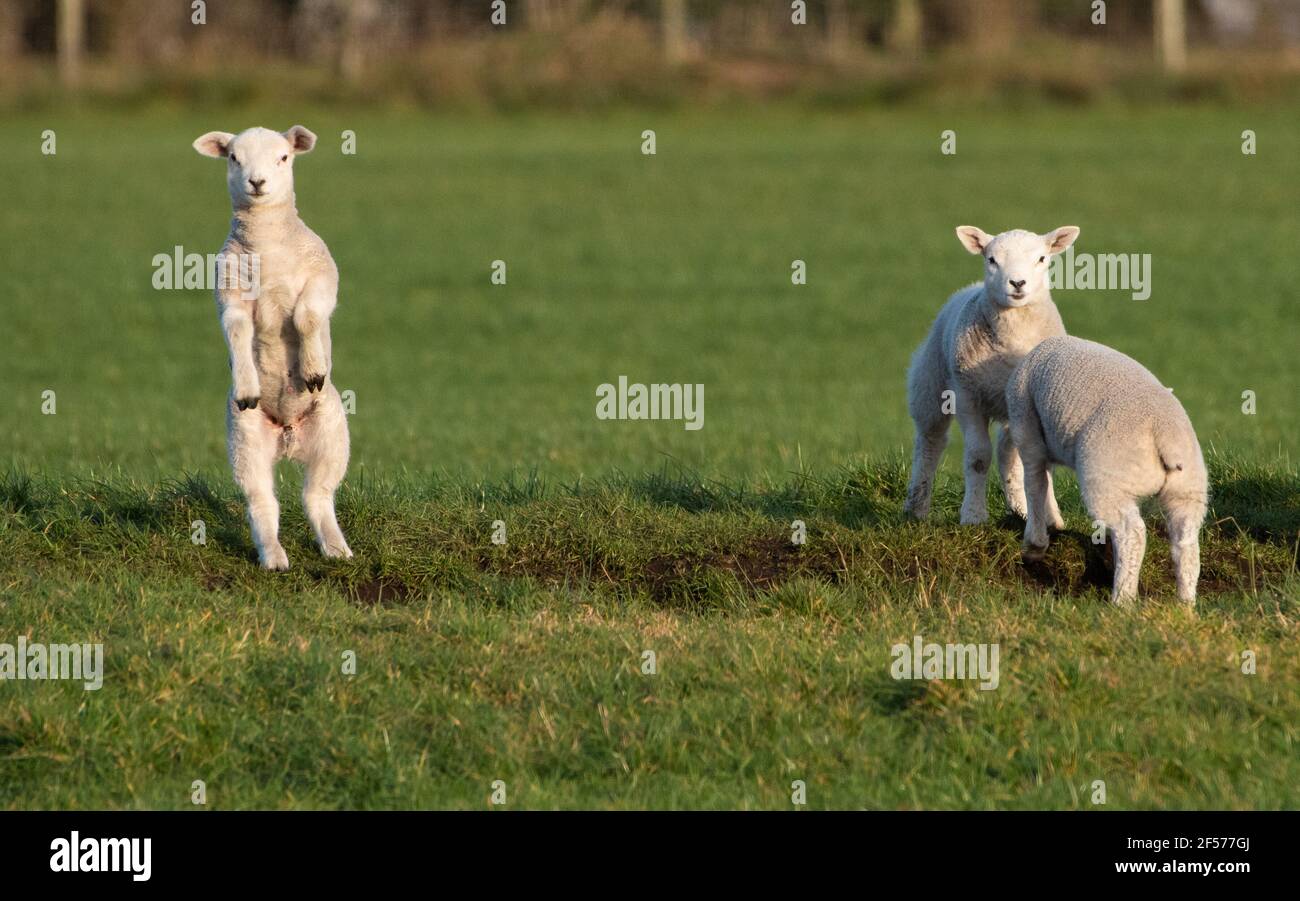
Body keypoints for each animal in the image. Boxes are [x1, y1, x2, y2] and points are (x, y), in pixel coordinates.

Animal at [192, 124, 356, 569]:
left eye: (283, 157)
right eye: (234, 157)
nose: (257, 182)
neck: (267, 249)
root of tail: (286, 435)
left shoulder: (322, 276)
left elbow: (306, 315)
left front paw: (312, 367)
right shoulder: (229, 291)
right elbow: (236, 330)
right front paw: (247, 383)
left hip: (332, 431)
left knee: (318, 495)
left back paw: (337, 549)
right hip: (246, 441)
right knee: (263, 502)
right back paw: (274, 556)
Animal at [904, 221, 1076, 522]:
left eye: (1042, 259)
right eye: (992, 259)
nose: (1017, 283)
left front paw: (1051, 518)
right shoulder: (966, 396)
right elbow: (978, 456)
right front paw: (973, 516)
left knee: (1009, 454)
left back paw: (1019, 508)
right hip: (930, 384)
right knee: (930, 441)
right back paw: (917, 507)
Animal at [1003, 335, 1206, 603]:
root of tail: (1164, 432)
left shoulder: (1027, 427)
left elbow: (1036, 485)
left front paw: (1034, 547)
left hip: (1107, 476)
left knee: (1132, 534)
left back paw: (1123, 599)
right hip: (1188, 486)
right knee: (1186, 539)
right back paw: (1185, 603)